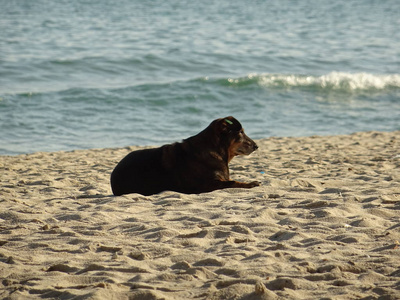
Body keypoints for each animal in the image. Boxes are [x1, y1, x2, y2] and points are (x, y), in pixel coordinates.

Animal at [109, 116, 260, 197]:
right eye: (240, 133)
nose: (256, 146)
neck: (215, 149)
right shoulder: (209, 184)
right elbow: (233, 182)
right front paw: (250, 183)